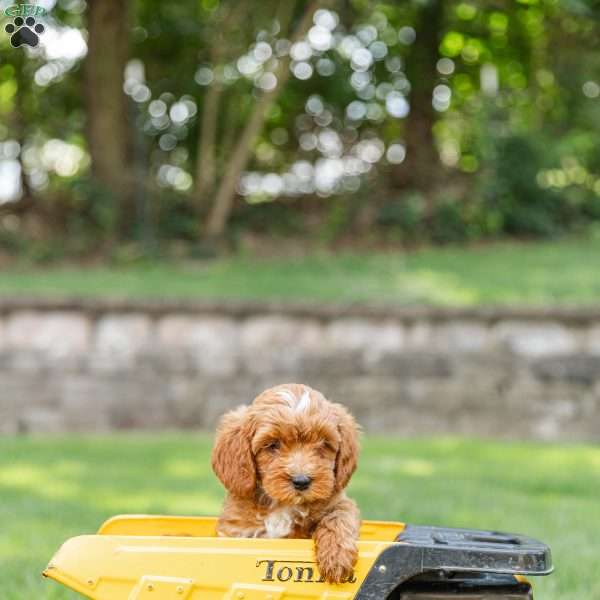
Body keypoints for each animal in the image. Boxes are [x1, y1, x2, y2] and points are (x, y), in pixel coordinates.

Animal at [212, 382, 360, 584]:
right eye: (272, 445)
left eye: (323, 443)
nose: (301, 481)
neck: (283, 505)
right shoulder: (239, 530)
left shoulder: (339, 501)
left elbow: (339, 517)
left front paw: (336, 557)